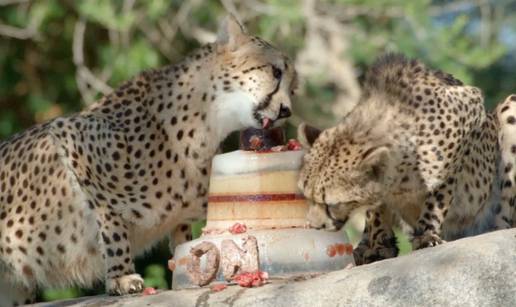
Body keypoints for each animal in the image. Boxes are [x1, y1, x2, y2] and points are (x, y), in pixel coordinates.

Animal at [0, 15, 298, 306]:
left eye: (294, 89)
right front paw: (121, 277)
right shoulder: (70, 136)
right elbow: (113, 226)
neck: (208, 119)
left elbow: (182, 234)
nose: (287, 111)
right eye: (275, 72)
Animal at [298, 54, 516, 266]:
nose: (315, 226)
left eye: (332, 204)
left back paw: (495, 229)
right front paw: (379, 245)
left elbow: (438, 196)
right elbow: (376, 210)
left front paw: (426, 235)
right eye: (307, 197)